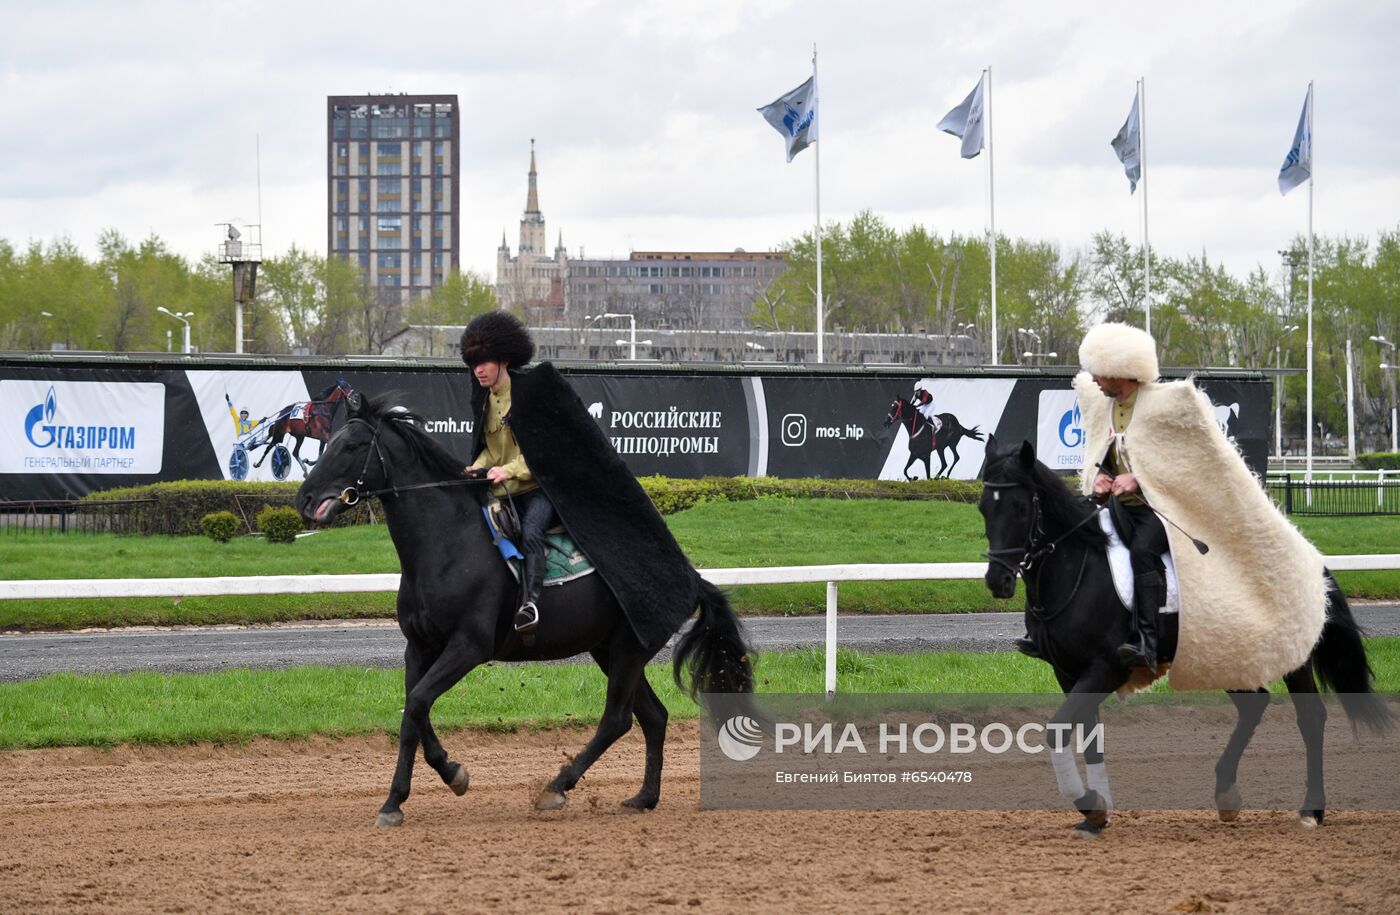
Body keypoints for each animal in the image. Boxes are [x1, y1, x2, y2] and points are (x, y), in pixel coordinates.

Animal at [295, 397, 756, 828]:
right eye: (329, 441)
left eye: (351, 445)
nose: (304, 497)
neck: (446, 544)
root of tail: (692, 578)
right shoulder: (420, 646)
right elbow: (413, 709)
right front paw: (433, 781)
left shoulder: (469, 645)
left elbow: (419, 702)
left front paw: (411, 793)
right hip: (609, 650)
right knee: (653, 717)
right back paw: (644, 797)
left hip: (628, 650)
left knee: (617, 719)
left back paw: (558, 786)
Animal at [980, 442, 1394, 833]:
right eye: (984, 507)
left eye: (1020, 508)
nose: (997, 581)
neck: (1076, 566)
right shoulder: (1068, 673)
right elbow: (1089, 736)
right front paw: (1097, 812)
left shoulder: (1105, 668)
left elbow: (1057, 730)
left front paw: (1088, 803)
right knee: (1254, 705)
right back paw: (1226, 794)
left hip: (1291, 657)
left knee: (1310, 718)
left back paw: (1312, 810)